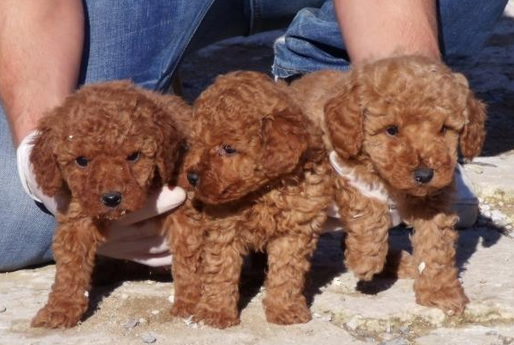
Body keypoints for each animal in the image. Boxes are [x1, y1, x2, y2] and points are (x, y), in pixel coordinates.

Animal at [28, 79, 188, 326]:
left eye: (134, 156)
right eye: (82, 161)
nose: (112, 198)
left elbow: (191, 259)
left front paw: (194, 303)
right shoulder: (76, 215)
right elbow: (70, 265)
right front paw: (61, 308)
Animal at [166, 70, 330, 328]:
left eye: (228, 148)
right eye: (196, 143)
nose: (191, 177)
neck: (264, 191)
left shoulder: (295, 229)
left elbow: (287, 273)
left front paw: (285, 309)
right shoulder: (224, 229)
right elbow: (221, 270)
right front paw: (216, 312)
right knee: (187, 263)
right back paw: (186, 303)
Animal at [288, 54, 484, 314]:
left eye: (444, 129)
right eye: (391, 130)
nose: (424, 175)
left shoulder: (434, 200)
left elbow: (435, 246)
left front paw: (441, 291)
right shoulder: (337, 165)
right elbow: (367, 206)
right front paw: (365, 258)